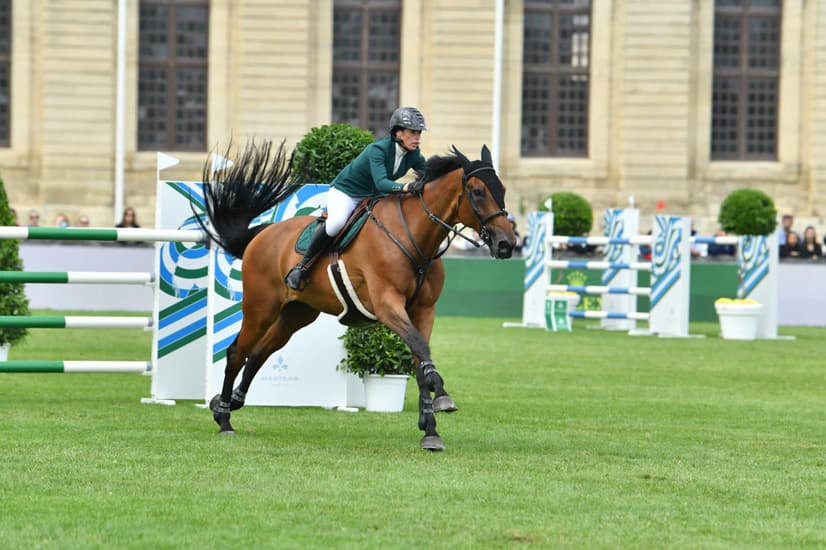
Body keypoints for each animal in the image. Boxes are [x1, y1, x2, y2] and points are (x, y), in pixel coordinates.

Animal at [197, 140, 517, 451]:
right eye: (478, 192)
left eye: (502, 190)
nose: (507, 244)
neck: (414, 237)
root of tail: (261, 235)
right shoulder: (388, 306)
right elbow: (421, 351)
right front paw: (441, 396)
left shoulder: (424, 311)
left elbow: (419, 359)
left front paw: (430, 430)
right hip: (261, 308)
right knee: (237, 353)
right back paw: (224, 419)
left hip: (296, 314)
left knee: (259, 354)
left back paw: (230, 403)